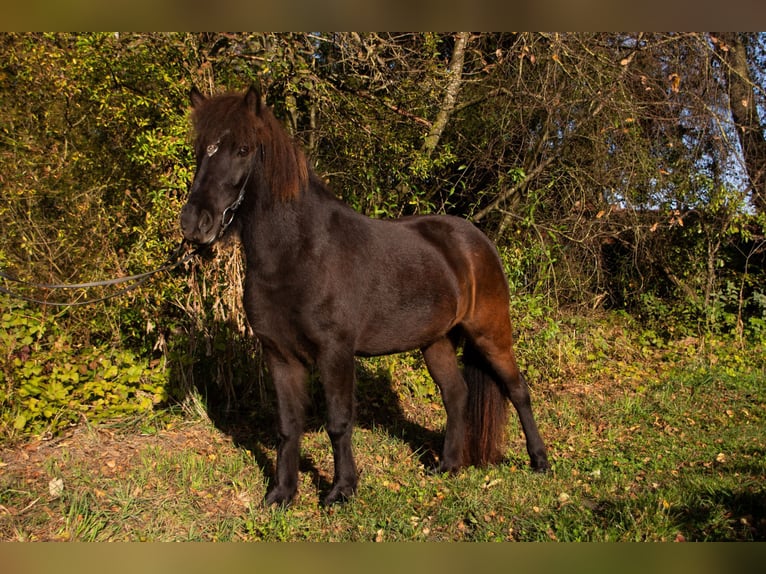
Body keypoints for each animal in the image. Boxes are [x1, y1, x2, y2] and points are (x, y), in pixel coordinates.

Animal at [182, 86, 552, 508]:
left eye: (242, 149)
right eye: (200, 149)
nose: (194, 223)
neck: (299, 253)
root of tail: (477, 241)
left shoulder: (335, 353)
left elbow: (339, 422)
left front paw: (341, 490)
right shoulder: (280, 356)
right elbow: (288, 426)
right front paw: (281, 494)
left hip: (490, 332)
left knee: (518, 390)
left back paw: (539, 461)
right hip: (436, 341)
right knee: (456, 394)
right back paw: (448, 466)